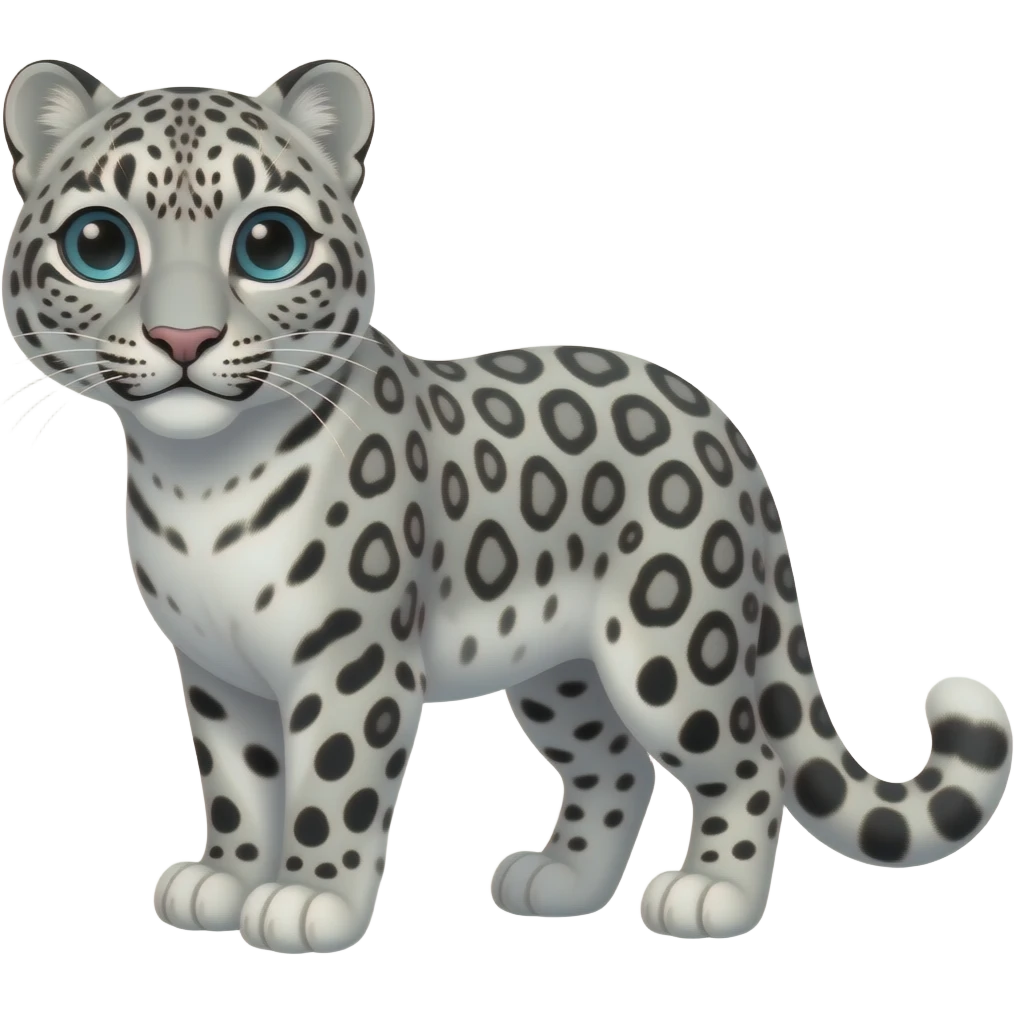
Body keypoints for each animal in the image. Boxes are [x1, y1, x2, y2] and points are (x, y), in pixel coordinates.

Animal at [3, 57, 1011, 954]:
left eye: (268, 245)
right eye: (100, 245)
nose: (184, 338)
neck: (198, 478)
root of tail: (719, 423)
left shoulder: (354, 662)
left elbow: (332, 784)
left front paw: (308, 901)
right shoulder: (217, 673)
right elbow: (239, 785)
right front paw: (226, 877)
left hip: (672, 642)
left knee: (742, 758)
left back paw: (711, 895)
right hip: (561, 672)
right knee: (616, 763)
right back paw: (558, 881)